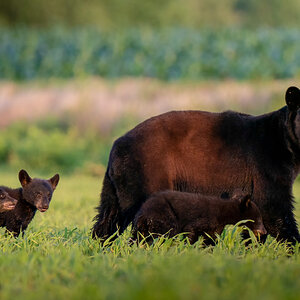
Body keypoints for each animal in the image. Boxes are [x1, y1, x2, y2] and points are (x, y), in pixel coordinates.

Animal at [132, 191, 268, 245]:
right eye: (258, 219)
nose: (264, 231)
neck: (223, 213)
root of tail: (143, 214)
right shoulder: (206, 218)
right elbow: (191, 230)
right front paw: (188, 247)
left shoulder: (214, 228)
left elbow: (210, 239)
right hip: (164, 217)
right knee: (165, 234)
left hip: (140, 227)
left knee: (137, 239)